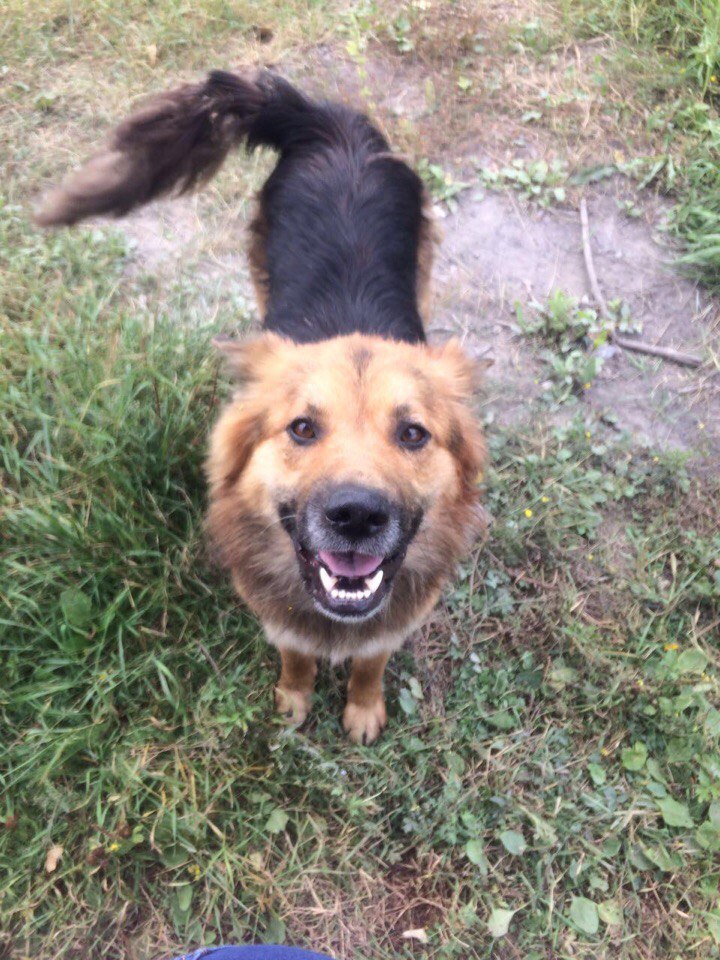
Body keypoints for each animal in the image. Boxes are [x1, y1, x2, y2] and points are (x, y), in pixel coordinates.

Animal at [36, 70, 487, 744]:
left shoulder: (391, 619)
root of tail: (331, 124)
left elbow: (371, 662)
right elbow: (296, 656)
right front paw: (293, 701)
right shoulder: (279, 618)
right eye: (301, 428)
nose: (357, 516)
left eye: (413, 434)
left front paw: (362, 708)